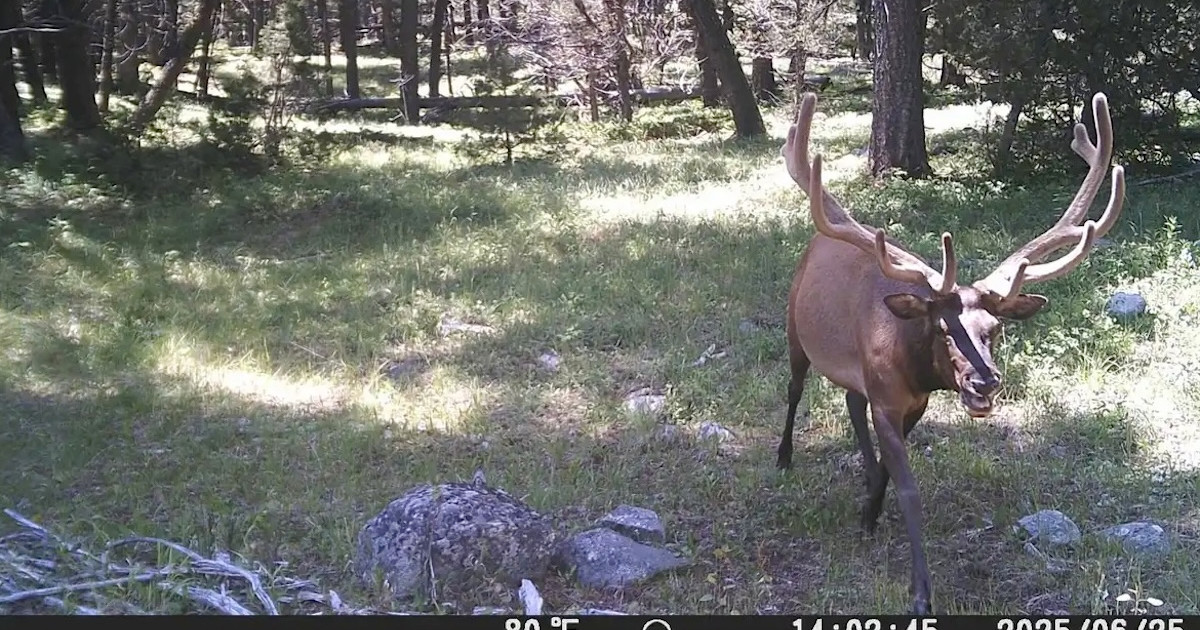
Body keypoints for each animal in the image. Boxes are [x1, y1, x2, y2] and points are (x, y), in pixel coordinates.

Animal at [774, 92, 1125, 614]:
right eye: (943, 328)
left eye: (995, 328)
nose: (985, 382)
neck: (910, 366)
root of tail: (818, 239)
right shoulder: (887, 398)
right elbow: (908, 488)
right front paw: (921, 592)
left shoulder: (910, 402)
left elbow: (885, 466)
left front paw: (868, 513)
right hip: (795, 332)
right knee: (795, 389)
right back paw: (783, 456)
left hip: (853, 374)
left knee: (850, 401)